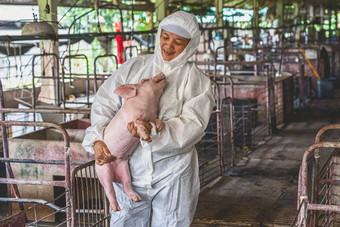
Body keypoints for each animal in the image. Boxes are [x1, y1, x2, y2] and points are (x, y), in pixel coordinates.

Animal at [95, 72, 167, 211]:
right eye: (144, 80)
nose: (161, 73)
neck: (149, 107)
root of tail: (115, 177)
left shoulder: (152, 117)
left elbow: (156, 121)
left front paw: (160, 127)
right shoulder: (132, 119)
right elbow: (137, 124)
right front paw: (146, 138)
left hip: (125, 169)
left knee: (126, 185)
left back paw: (137, 199)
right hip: (103, 170)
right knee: (109, 190)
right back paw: (116, 208)